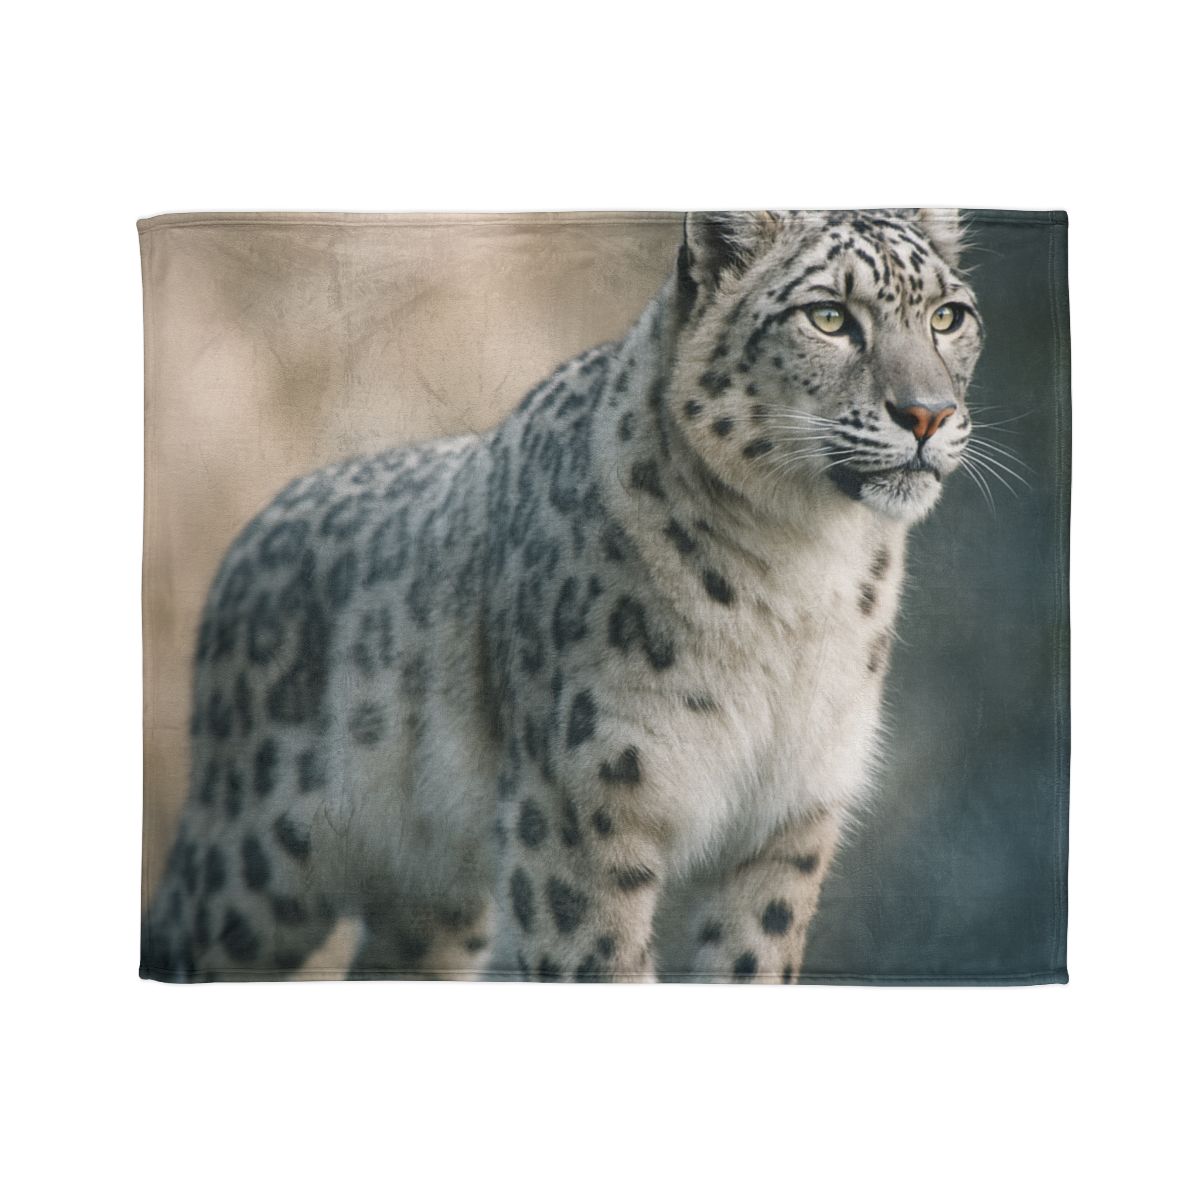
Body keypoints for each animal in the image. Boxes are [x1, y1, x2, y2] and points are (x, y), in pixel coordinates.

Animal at [141, 209, 983, 983]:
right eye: (830, 316)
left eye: (948, 316)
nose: (927, 413)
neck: (804, 571)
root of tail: (250, 536)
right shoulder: (584, 807)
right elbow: (600, 961)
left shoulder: (790, 817)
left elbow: (752, 961)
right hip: (252, 866)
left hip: (434, 900)